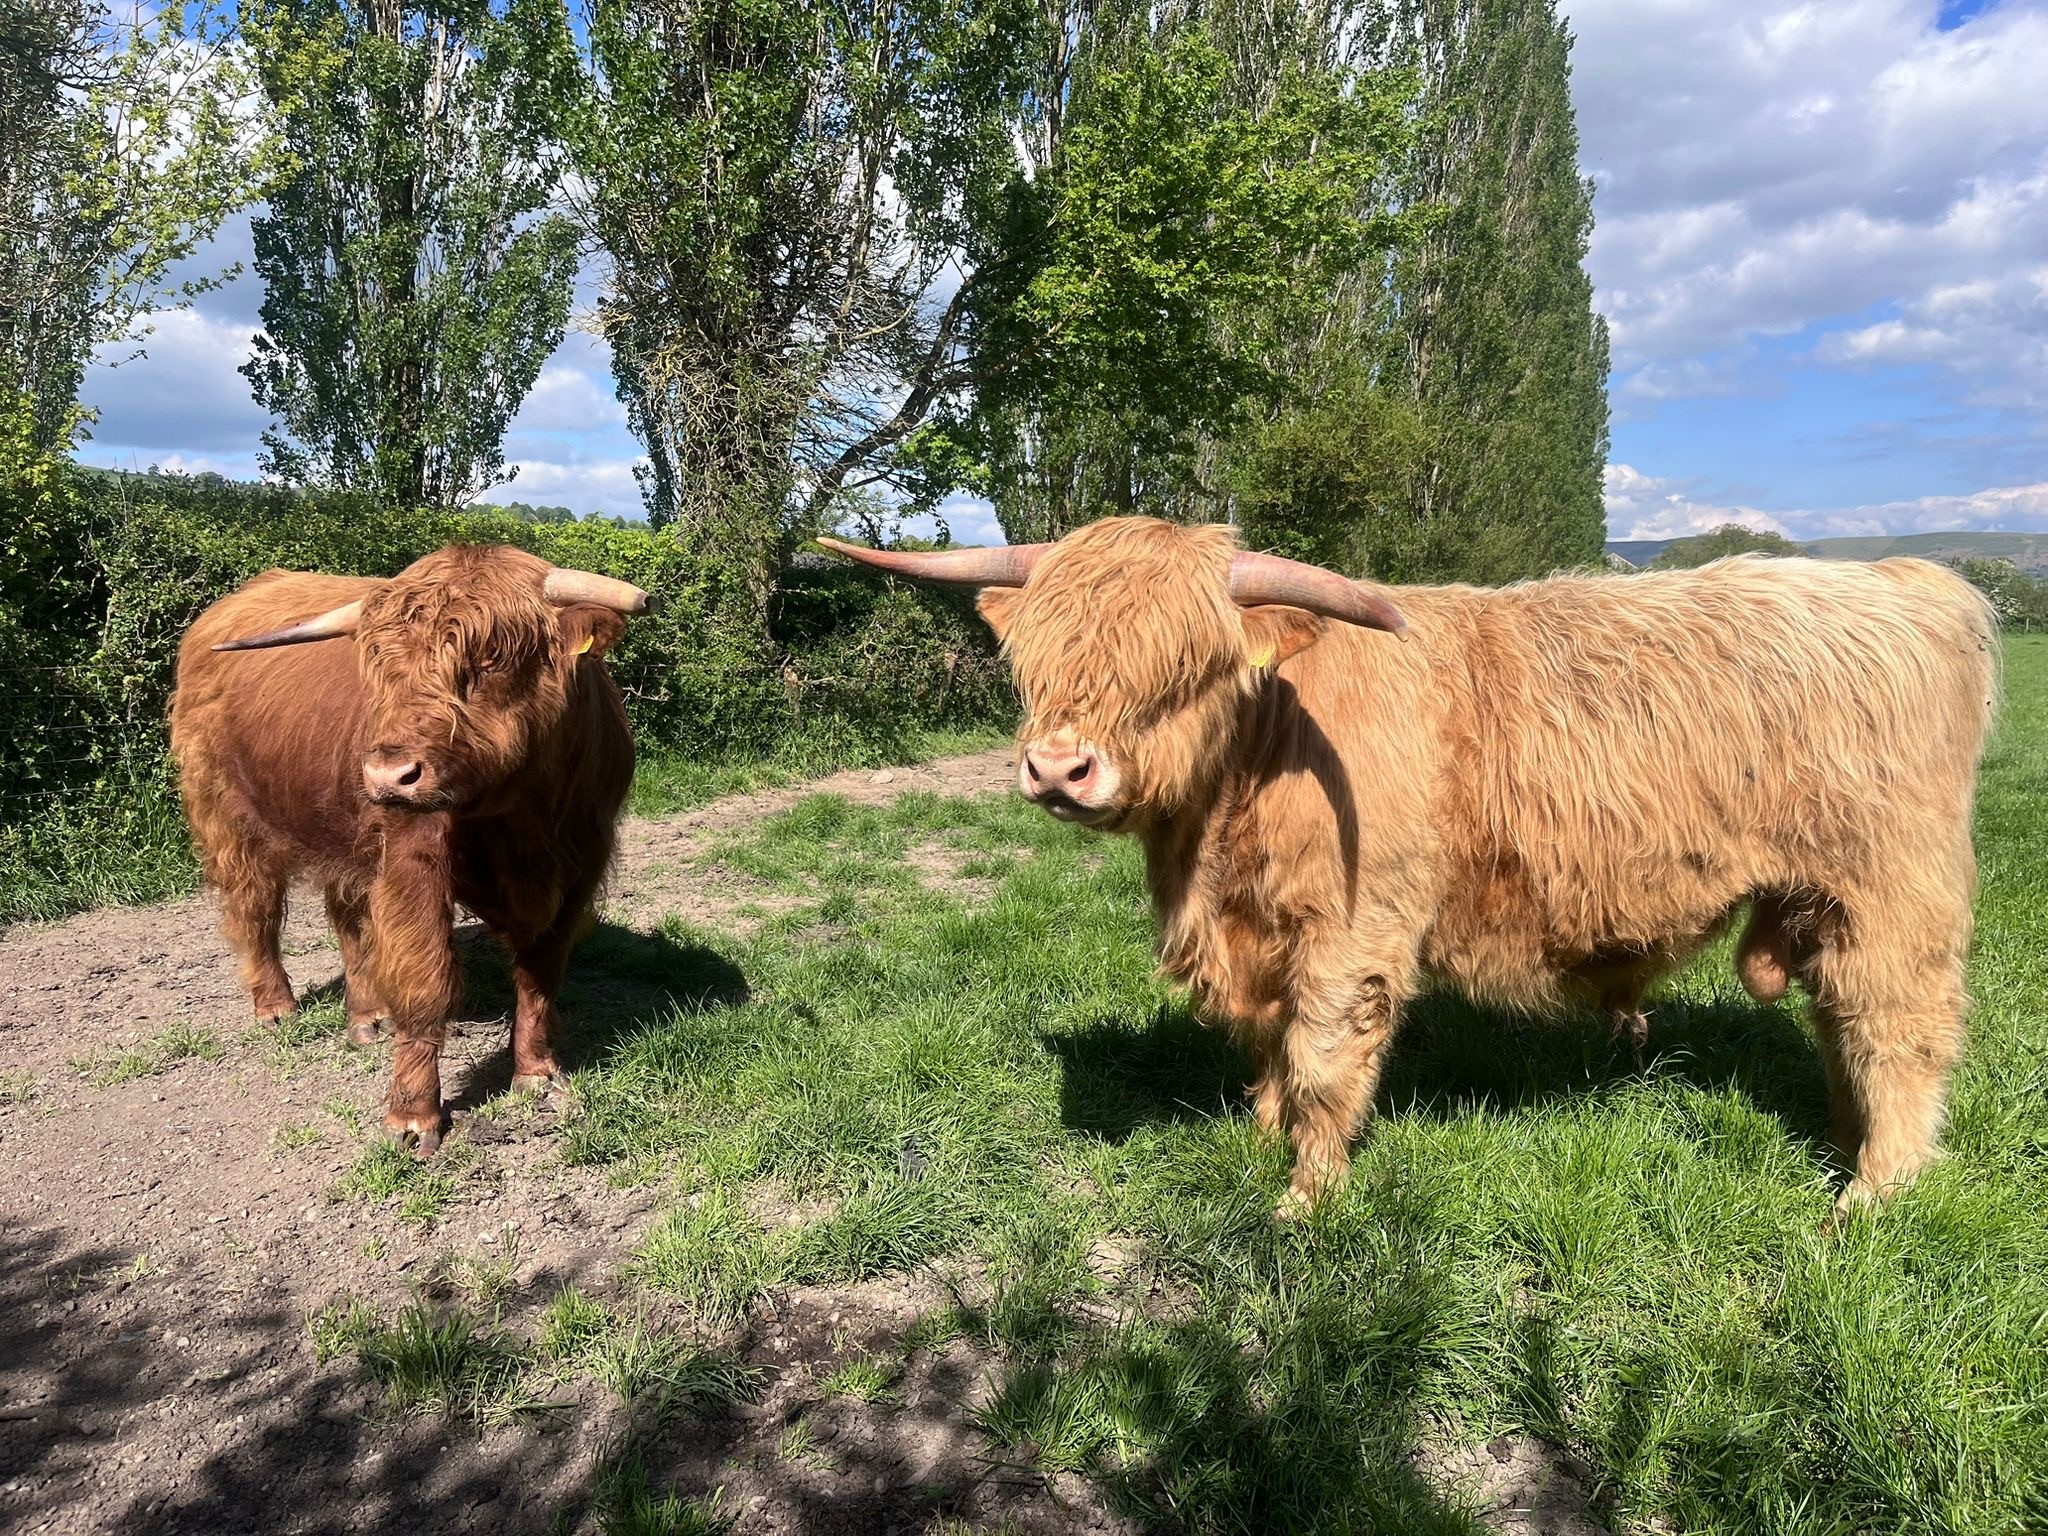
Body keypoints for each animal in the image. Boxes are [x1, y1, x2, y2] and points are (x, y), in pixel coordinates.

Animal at [169, 544, 647, 1155]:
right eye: (380, 667)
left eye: (491, 658)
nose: (386, 775)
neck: (524, 818)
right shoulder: (411, 862)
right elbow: (425, 978)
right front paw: (413, 1114)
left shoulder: (582, 864)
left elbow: (541, 973)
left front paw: (536, 1071)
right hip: (226, 814)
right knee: (254, 906)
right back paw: (276, 1007)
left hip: (343, 833)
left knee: (347, 916)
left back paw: (367, 1017)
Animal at [821, 518, 1998, 1218]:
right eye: (1038, 657)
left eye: (1187, 667)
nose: (1060, 767)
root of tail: (1910, 585)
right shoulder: (1265, 934)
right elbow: (1271, 1046)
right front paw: (1263, 1132)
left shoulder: (1354, 930)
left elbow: (1321, 1055)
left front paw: (1305, 1197)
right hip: (1821, 901)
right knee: (1839, 1025)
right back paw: (1841, 1143)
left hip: (1889, 892)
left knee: (1897, 1031)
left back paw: (1871, 1193)